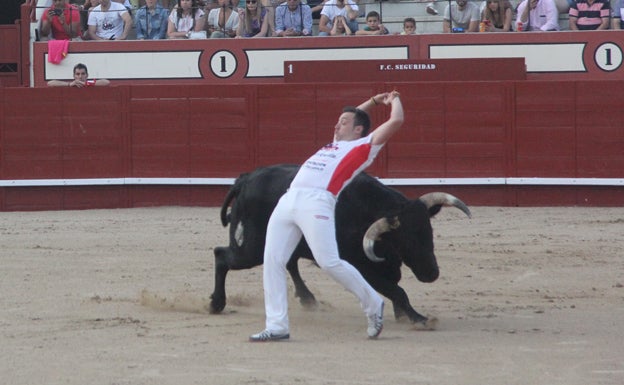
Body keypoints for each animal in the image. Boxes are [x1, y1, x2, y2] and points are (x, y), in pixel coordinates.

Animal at [207, 164, 470, 326]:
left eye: (429, 232)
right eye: (403, 241)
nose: (431, 273)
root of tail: (244, 180)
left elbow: (396, 287)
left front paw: (403, 315)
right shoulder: (360, 266)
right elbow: (397, 290)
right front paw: (418, 319)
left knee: (288, 262)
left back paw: (308, 300)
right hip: (250, 249)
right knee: (221, 255)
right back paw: (217, 303)